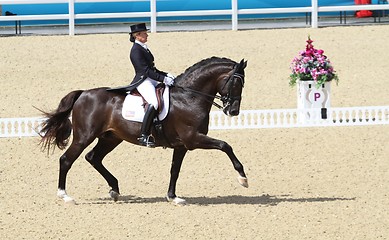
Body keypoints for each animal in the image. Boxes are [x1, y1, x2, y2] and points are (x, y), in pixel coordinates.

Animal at [38, 56, 246, 204]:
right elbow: (225, 145)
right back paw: (65, 196)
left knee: (93, 158)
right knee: (66, 160)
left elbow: (174, 170)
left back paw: (114, 189)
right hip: (84, 136)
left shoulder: (181, 145)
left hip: (111, 138)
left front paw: (173, 197)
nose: (233, 111)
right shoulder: (193, 139)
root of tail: (83, 94)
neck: (189, 97)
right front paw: (243, 178)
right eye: (236, 83)